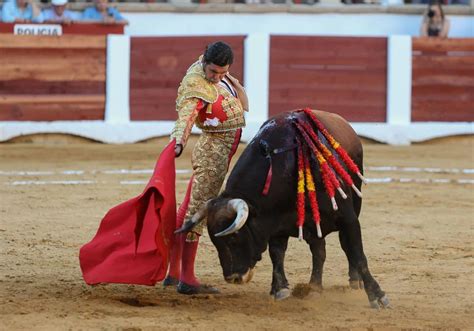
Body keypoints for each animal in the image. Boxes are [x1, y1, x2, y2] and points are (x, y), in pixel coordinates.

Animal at [176, 110, 390, 310]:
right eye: (215, 242)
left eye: (234, 237)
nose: (233, 277)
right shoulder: (275, 222)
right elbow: (277, 253)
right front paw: (280, 289)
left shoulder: (348, 219)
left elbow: (357, 253)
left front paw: (377, 296)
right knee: (318, 251)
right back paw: (314, 287)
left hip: (355, 202)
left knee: (345, 249)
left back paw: (354, 281)